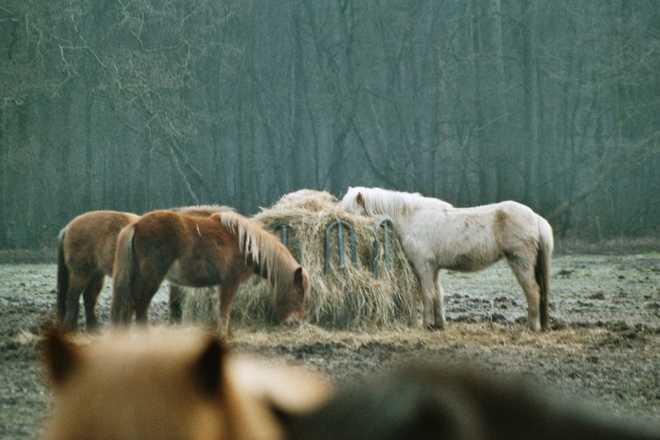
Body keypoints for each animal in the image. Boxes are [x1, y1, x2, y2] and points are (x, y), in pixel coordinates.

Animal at [56, 206, 233, 330]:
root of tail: (68, 227)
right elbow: (174, 303)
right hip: (81, 273)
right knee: (72, 299)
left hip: (97, 275)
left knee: (89, 299)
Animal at [111, 209, 310, 334]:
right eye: (298, 291)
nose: (298, 320)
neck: (245, 244)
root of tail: (137, 224)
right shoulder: (229, 283)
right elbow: (225, 309)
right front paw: (224, 335)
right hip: (152, 279)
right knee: (140, 307)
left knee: (128, 306)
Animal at [342, 187, 556, 332]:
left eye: (350, 210)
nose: (340, 221)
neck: (412, 219)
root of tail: (535, 218)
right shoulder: (434, 268)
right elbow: (438, 294)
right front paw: (439, 324)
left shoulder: (424, 266)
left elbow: (427, 294)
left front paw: (427, 324)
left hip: (520, 263)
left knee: (533, 292)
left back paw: (532, 326)